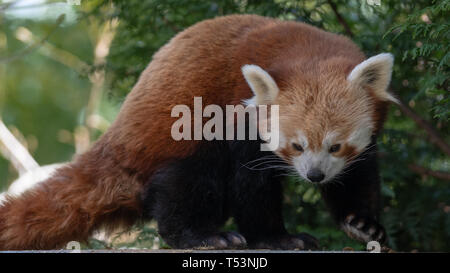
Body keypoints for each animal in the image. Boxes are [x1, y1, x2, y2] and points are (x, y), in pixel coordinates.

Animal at [0, 14, 394, 249]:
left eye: (336, 146)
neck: (304, 49)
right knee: (187, 184)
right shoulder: (238, 118)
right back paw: (203, 236)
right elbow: (251, 186)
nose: (314, 176)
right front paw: (276, 238)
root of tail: (117, 140)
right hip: (175, 139)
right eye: (295, 146)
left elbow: (357, 176)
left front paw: (362, 224)